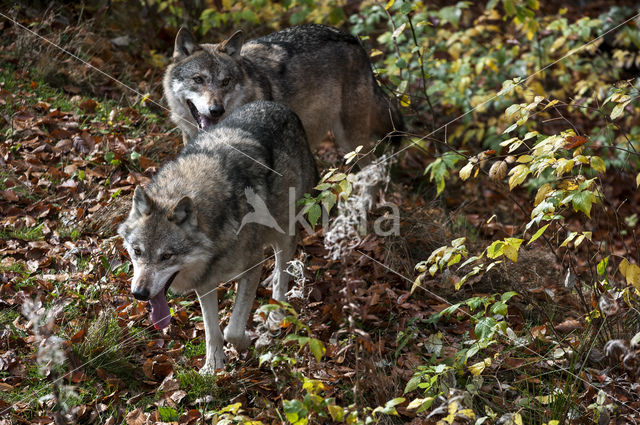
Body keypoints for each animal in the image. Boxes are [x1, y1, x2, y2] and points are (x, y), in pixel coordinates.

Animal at [117, 101, 318, 372]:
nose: (139, 293)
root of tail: (278, 105)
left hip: (284, 229)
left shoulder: (251, 267)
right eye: (137, 251)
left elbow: (232, 330)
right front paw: (213, 367)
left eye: (166, 256)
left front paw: (245, 341)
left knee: (281, 270)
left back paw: (276, 312)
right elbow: (212, 331)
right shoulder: (205, 282)